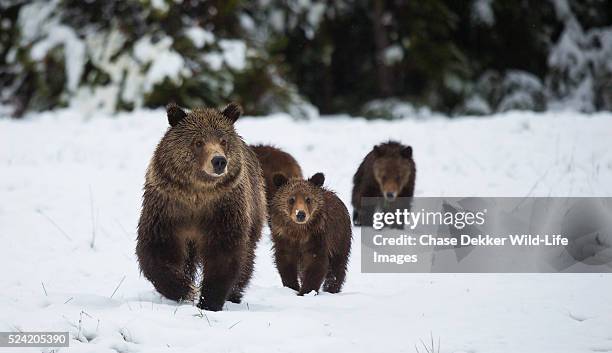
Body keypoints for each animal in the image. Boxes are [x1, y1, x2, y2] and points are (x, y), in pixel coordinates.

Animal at [136, 102, 266, 310]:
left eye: (223, 140)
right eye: (198, 142)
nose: (219, 161)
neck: (197, 194)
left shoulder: (223, 210)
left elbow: (224, 255)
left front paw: (209, 300)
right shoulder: (167, 209)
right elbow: (157, 250)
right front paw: (184, 289)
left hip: (254, 208)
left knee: (247, 256)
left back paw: (235, 294)